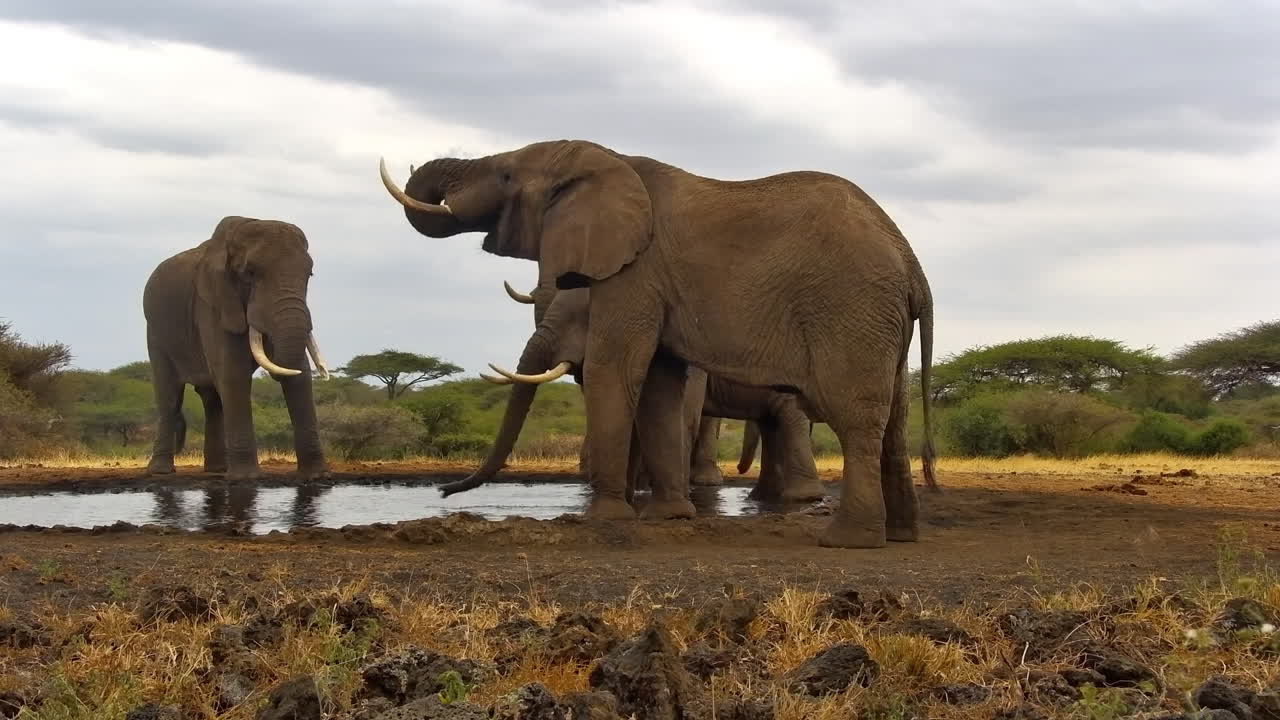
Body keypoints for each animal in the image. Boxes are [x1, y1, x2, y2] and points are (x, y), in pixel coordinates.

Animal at [142, 215, 331, 482]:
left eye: (309, 274)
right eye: (250, 273)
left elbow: (299, 375)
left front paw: (316, 475)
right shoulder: (212, 304)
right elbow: (234, 374)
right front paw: (245, 478)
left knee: (212, 400)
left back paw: (217, 470)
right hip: (156, 332)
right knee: (170, 396)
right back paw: (161, 472)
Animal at [378, 138, 937, 548]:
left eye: (507, 177)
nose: (444, 491)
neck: (611, 162)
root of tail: (912, 263)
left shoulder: (634, 273)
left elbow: (615, 369)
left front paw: (605, 519)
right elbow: (659, 388)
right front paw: (667, 518)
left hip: (848, 307)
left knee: (854, 417)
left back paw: (847, 540)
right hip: (879, 321)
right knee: (894, 420)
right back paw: (902, 535)